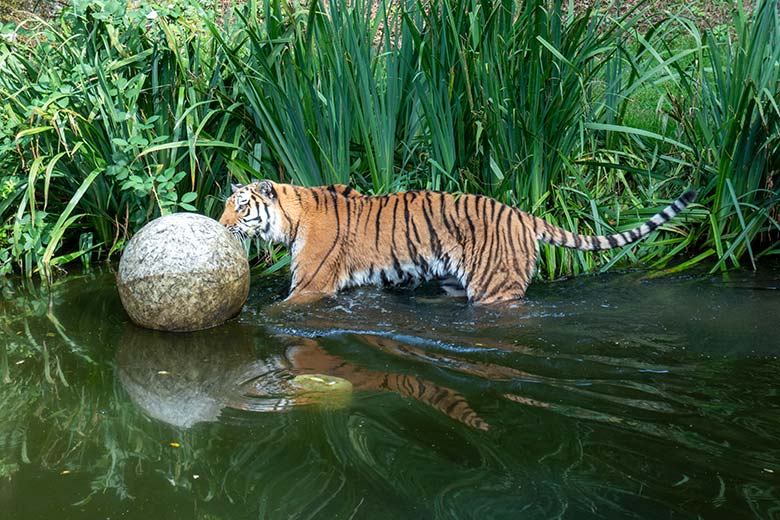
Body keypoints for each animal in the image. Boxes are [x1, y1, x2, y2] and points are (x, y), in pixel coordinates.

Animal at [218, 181, 696, 304]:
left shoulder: (310, 286)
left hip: (496, 286)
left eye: (239, 207)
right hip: (453, 279)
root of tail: (520, 213)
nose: (220, 226)